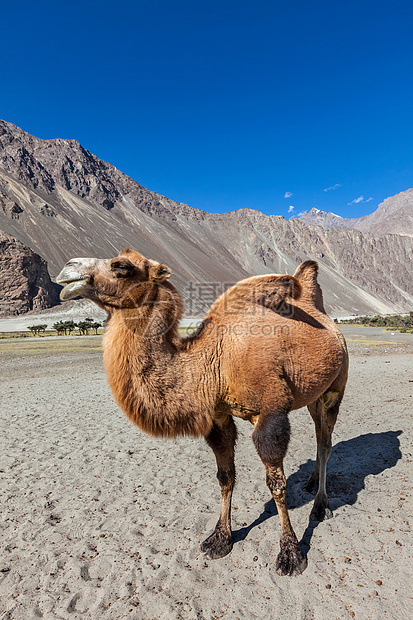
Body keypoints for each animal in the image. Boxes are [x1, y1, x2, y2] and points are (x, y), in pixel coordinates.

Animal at [56, 248, 346, 576]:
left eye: (122, 266)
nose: (68, 268)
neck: (213, 361)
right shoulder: (218, 416)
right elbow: (225, 476)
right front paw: (219, 539)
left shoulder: (270, 413)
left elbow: (277, 485)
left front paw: (290, 553)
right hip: (313, 394)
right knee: (319, 434)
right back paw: (310, 483)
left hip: (335, 387)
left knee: (325, 442)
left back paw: (321, 505)